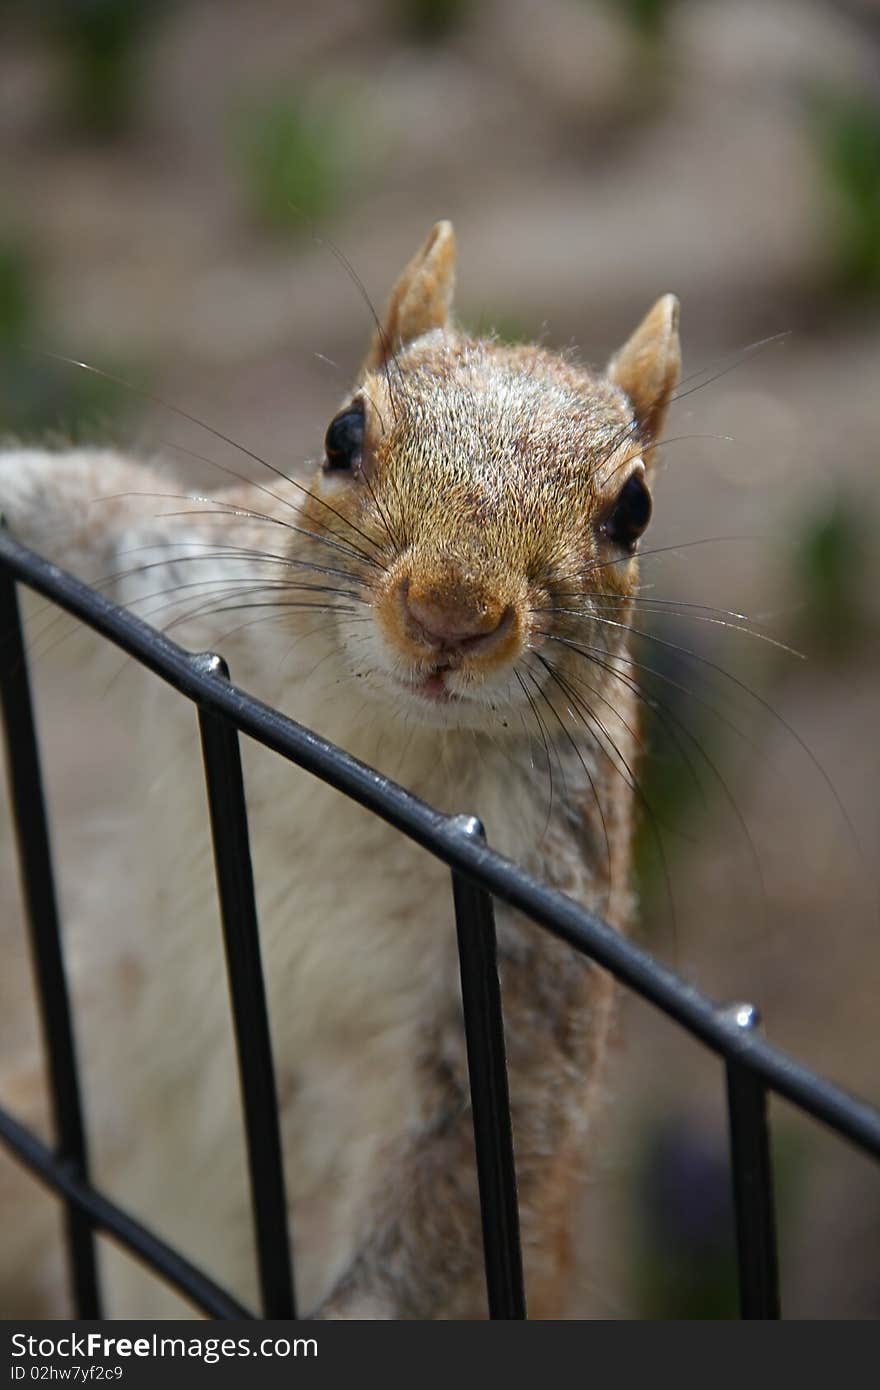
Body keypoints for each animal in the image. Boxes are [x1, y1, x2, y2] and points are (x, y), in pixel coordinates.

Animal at [0, 222, 678, 1317]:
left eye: (634, 510)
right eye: (341, 434)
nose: (450, 611)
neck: (371, 735)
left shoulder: (532, 929)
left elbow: (460, 1184)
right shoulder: (172, 576)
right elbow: (77, 512)